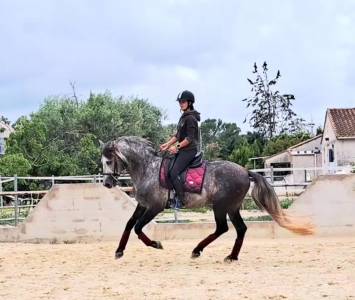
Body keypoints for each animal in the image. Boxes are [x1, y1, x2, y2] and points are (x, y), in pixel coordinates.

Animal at [101, 136, 314, 262]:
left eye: (109, 161)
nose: (107, 183)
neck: (147, 169)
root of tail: (245, 171)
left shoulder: (155, 206)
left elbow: (138, 228)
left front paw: (156, 244)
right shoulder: (142, 204)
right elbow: (129, 224)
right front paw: (119, 251)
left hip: (221, 206)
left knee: (223, 228)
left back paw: (199, 250)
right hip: (232, 207)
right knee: (239, 229)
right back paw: (230, 256)